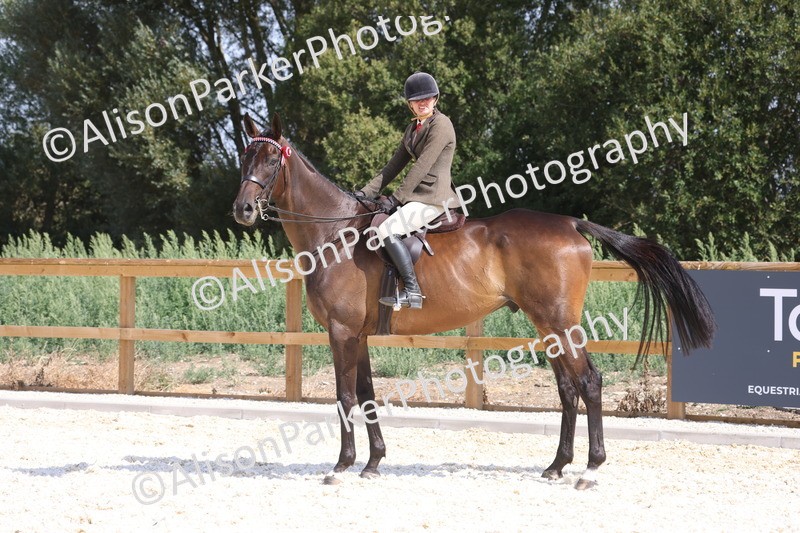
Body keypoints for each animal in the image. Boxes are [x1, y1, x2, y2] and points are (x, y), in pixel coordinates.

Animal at [232, 113, 715, 490]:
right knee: (567, 388)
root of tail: (570, 223)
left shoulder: (342, 331)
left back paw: (590, 470)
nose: (242, 210)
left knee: (589, 382)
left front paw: (341, 466)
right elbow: (367, 394)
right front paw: (372, 463)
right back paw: (557, 466)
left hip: (560, 322)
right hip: (547, 325)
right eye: (244, 158)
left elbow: (345, 396)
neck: (335, 234)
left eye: (272, 160)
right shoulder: (360, 335)